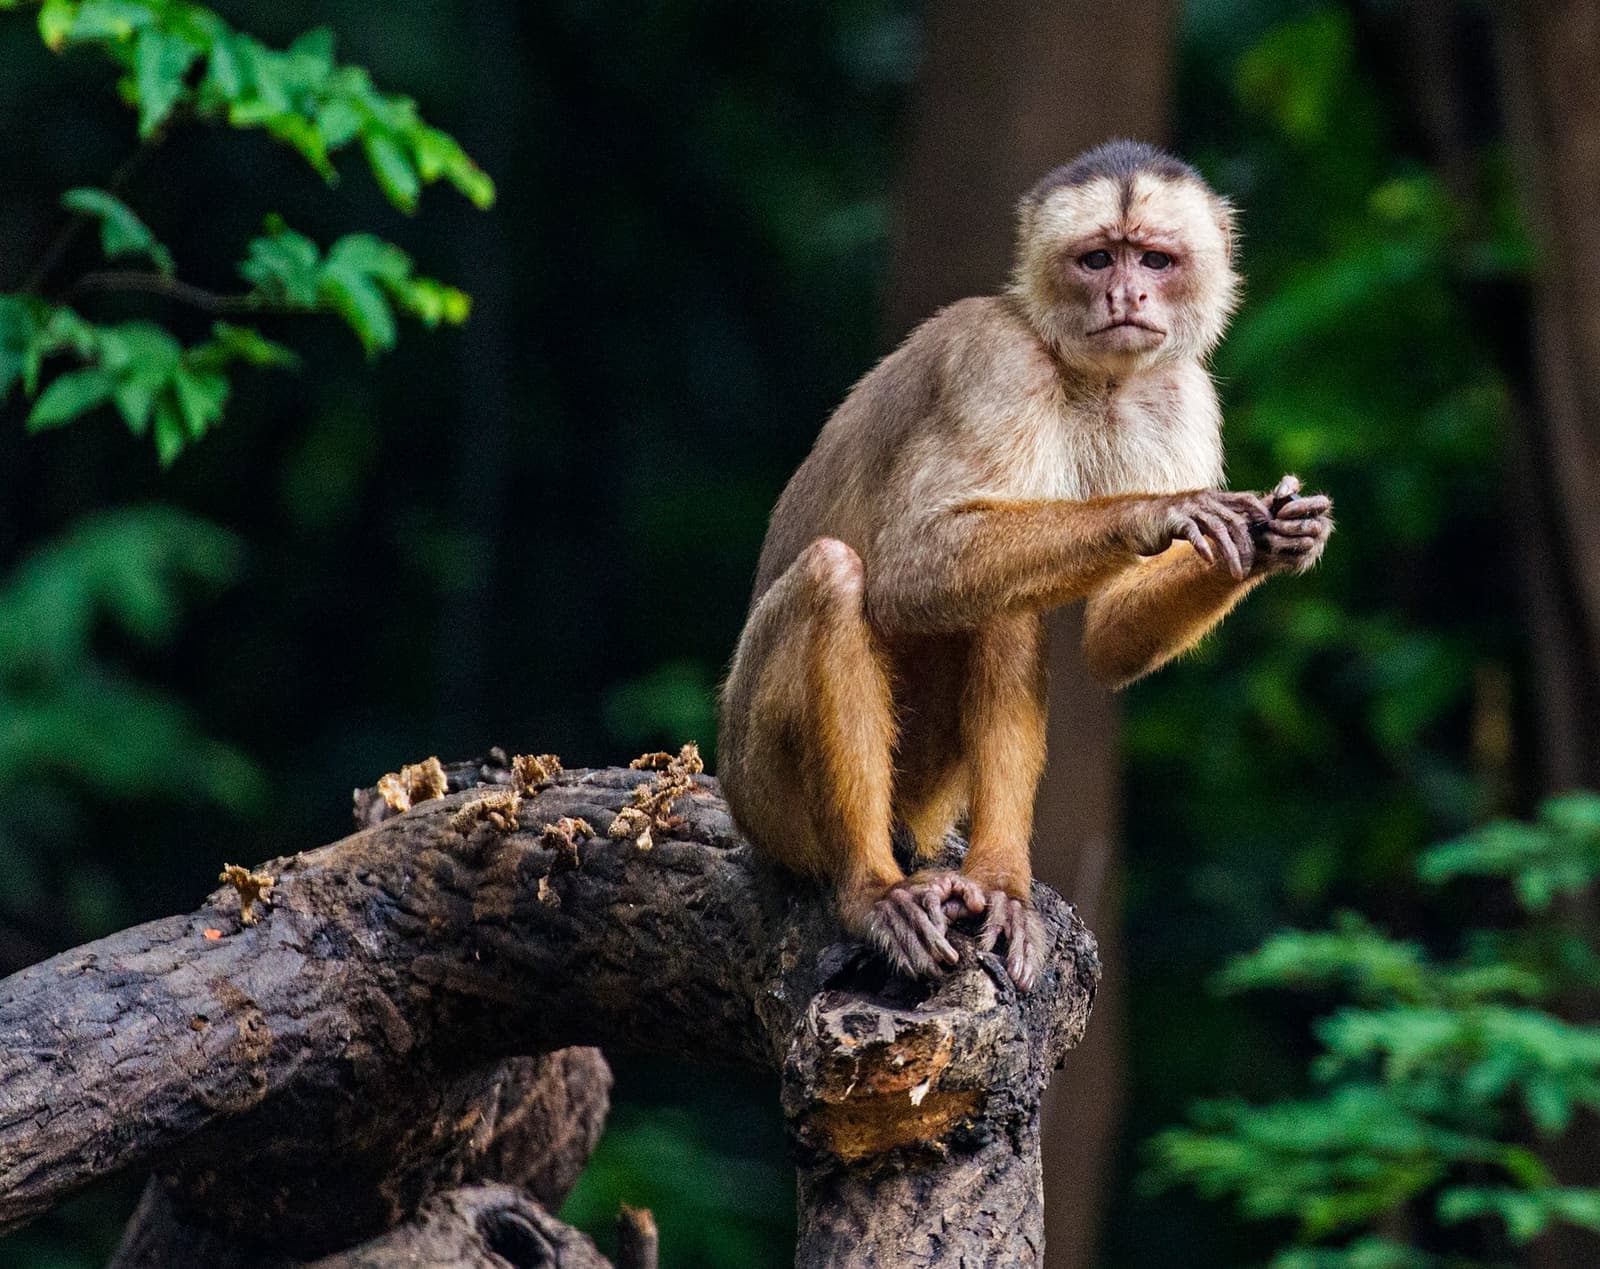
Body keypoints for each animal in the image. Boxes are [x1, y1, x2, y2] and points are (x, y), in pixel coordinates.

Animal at [717, 140, 1333, 992]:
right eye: (1098, 258)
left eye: (1155, 258)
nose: (1126, 293)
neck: (1089, 374)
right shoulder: (994, 358)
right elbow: (911, 565)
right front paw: (1160, 510)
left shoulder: (1179, 393)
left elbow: (1107, 636)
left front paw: (1273, 541)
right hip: (760, 792)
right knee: (837, 576)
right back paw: (871, 889)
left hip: (924, 791)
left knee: (1005, 604)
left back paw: (999, 879)